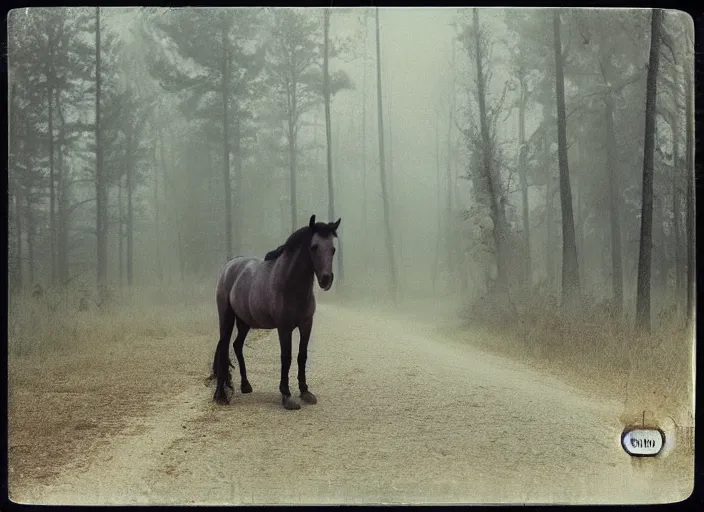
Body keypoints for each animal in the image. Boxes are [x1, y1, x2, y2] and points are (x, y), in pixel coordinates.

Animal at [209, 214, 340, 410]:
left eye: (332, 249)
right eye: (314, 247)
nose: (326, 280)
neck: (289, 284)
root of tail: (229, 266)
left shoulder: (306, 324)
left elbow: (302, 355)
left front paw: (305, 391)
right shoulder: (283, 328)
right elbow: (286, 357)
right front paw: (286, 395)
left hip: (244, 322)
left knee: (237, 346)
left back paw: (245, 385)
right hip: (226, 318)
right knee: (224, 349)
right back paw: (221, 395)